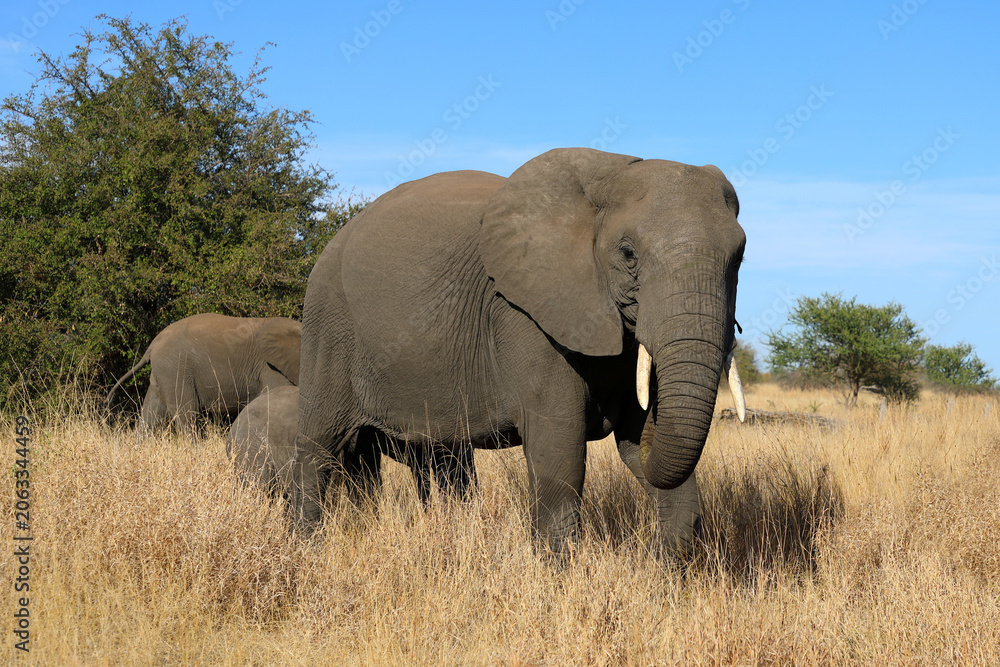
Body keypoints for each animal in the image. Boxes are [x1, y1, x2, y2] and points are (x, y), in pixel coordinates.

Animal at [106, 313, 302, 435]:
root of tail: (153, 344)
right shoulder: (271, 368)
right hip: (176, 369)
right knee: (186, 414)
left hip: (162, 373)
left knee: (151, 414)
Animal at [290, 148, 747, 556]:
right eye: (628, 253)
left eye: (739, 258)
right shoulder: (522, 314)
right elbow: (560, 449)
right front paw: (559, 579)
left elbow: (639, 443)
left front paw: (664, 574)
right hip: (329, 327)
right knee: (319, 447)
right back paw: (304, 549)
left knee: (438, 460)